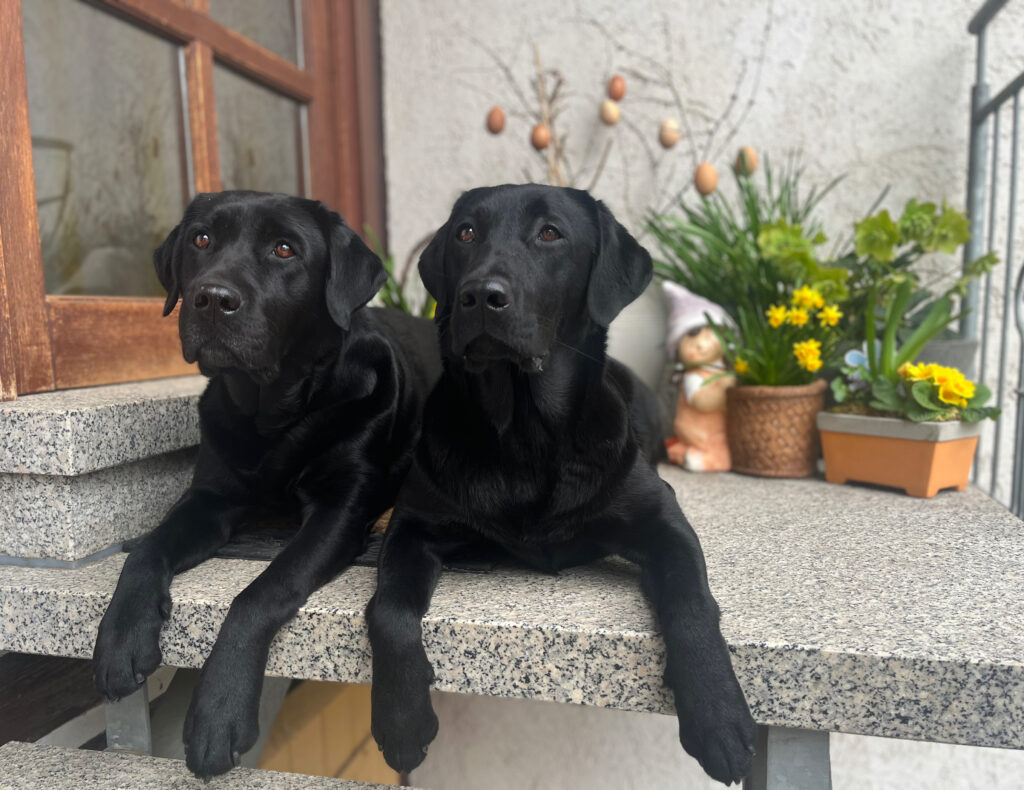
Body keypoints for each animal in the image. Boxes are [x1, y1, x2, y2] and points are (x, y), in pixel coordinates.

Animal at [92, 191, 440, 779]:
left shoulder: (340, 511)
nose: (211, 299)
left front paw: (219, 711)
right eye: (201, 239)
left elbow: (259, 592)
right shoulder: (209, 498)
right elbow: (145, 550)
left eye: (284, 249)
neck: (273, 414)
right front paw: (119, 638)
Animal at [366, 184, 755, 785]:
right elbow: (389, 609)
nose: (480, 296)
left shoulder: (662, 520)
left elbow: (692, 601)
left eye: (550, 233)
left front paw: (719, 716)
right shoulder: (413, 524)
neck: (527, 436)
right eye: (466, 233)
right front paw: (402, 720)